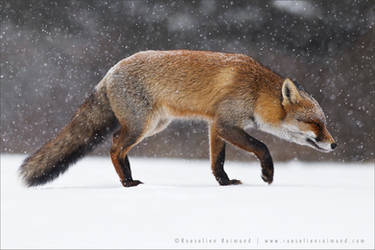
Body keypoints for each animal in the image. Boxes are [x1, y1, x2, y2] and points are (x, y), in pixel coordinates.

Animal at [19, 50, 338, 187]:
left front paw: (224, 183)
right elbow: (263, 147)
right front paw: (267, 175)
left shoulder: (215, 125)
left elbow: (217, 161)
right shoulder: (227, 123)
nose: (335, 145)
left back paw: (129, 177)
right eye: (315, 124)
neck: (256, 91)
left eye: (325, 123)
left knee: (117, 144)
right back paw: (127, 182)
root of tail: (110, 71)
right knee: (114, 147)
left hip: (154, 126)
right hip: (142, 125)